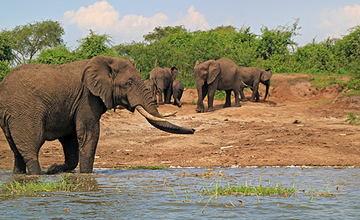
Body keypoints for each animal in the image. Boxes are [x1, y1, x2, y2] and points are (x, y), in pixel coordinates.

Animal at [0, 55, 194, 174]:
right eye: (128, 83)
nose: (193, 130)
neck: (107, 61)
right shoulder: (87, 98)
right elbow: (89, 134)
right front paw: (86, 175)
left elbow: (71, 139)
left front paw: (54, 170)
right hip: (24, 114)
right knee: (31, 147)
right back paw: (37, 175)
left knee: (17, 151)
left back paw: (20, 176)